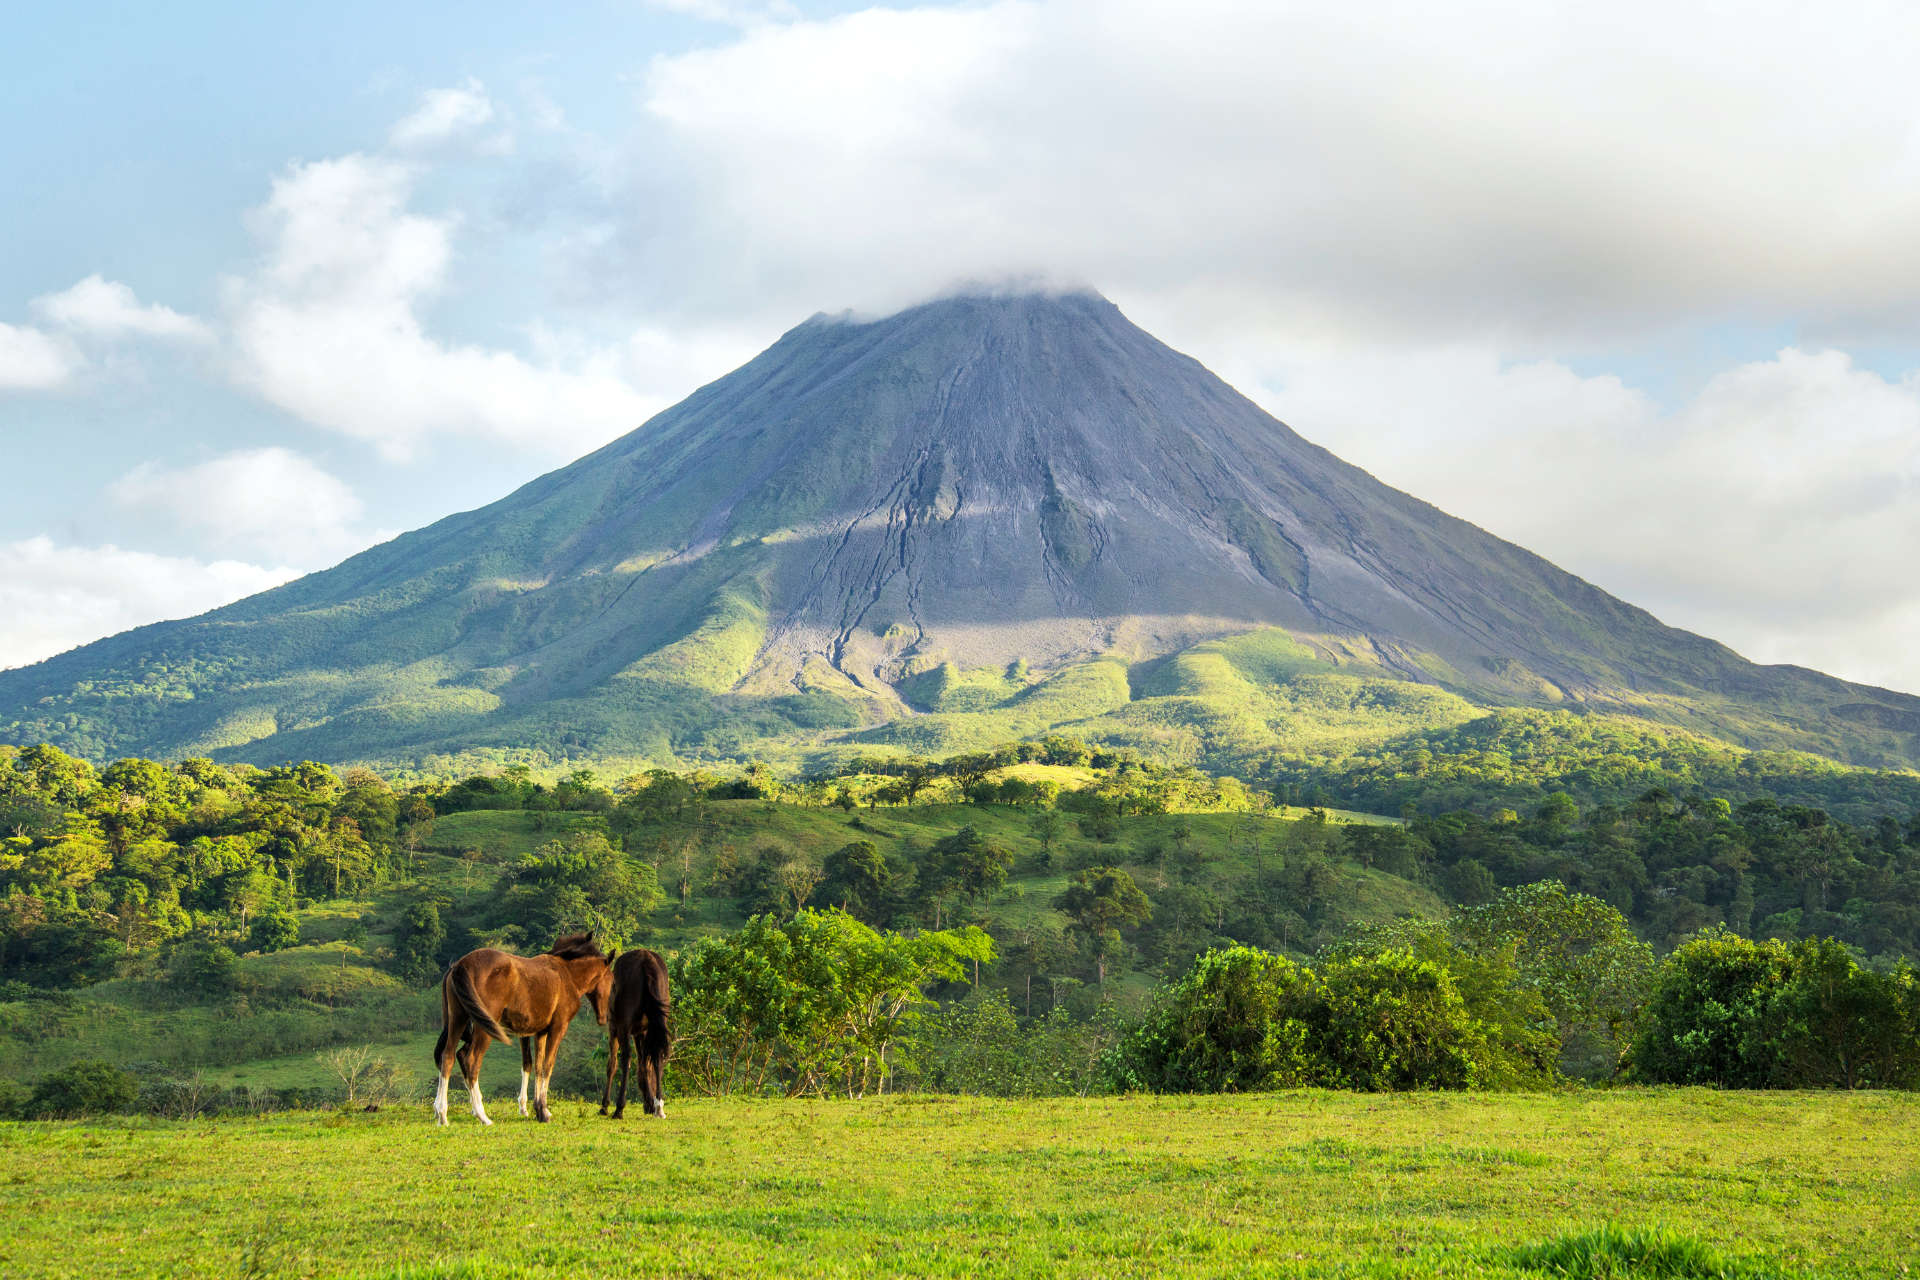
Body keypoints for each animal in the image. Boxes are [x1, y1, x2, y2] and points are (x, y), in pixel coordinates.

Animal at [435, 924, 614, 1128]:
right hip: (483, 1027)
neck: (567, 975)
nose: (604, 1018)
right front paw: (542, 1112)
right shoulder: (558, 1028)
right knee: (471, 1061)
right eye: (612, 980)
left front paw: (537, 1109)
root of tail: (460, 965)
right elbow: (547, 1066)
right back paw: (482, 1116)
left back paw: (442, 1115)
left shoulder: (538, 1032)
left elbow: (535, 1066)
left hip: (458, 1019)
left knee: (447, 1058)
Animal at [599, 951, 675, 1120]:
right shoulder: (642, 1032)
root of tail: (645, 961)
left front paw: (604, 1106)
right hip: (657, 1023)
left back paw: (619, 1108)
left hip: (624, 1026)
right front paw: (649, 1104)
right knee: (657, 1058)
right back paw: (659, 1106)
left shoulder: (614, 1028)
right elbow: (644, 1065)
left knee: (626, 1059)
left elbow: (612, 1065)